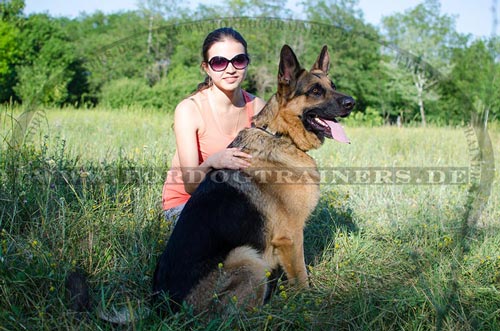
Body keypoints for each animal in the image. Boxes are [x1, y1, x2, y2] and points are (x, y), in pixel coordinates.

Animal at [154, 45, 354, 316]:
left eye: (332, 85)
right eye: (315, 91)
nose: (352, 102)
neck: (280, 135)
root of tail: (167, 306)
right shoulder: (291, 237)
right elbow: (301, 277)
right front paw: (307, 304)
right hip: (247, 257)